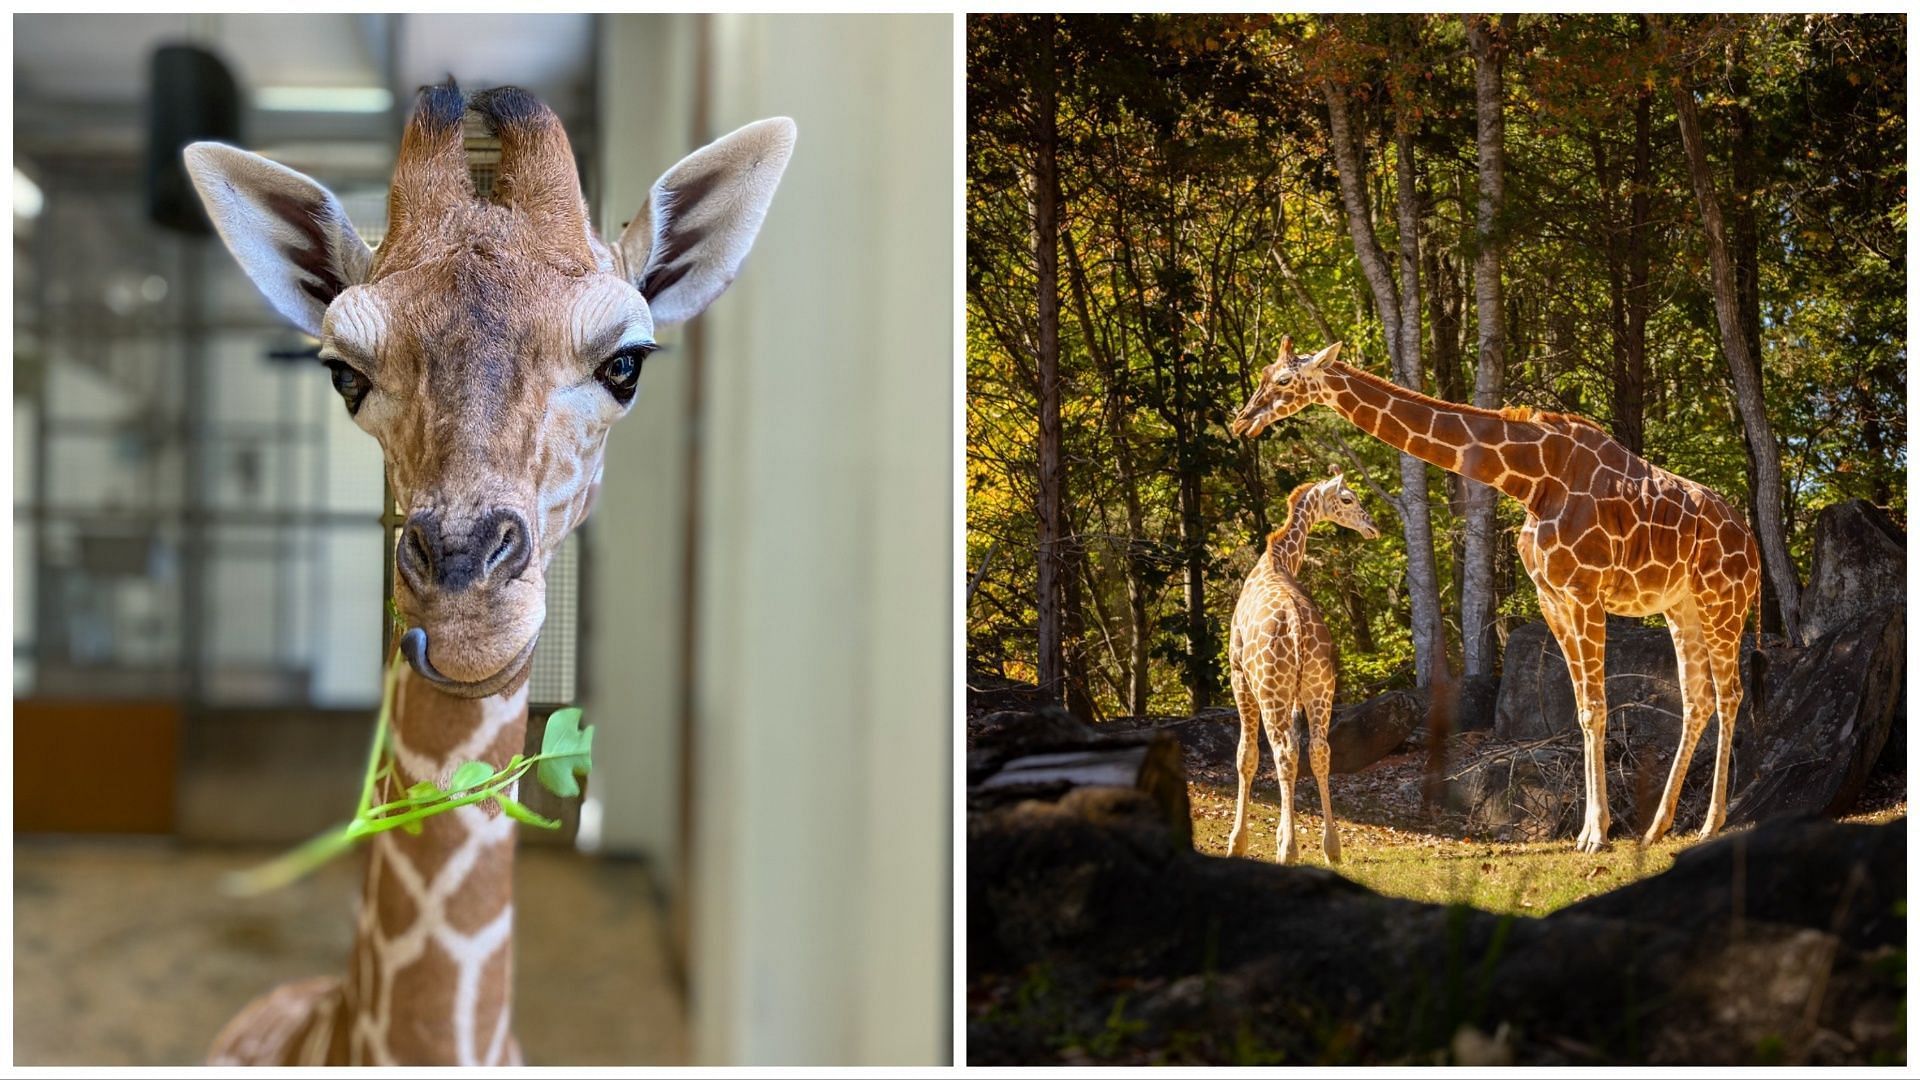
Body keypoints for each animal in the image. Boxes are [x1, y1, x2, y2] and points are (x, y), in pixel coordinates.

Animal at [1228, 470, 1382, 857]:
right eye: (1348, 499)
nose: (1372, 527)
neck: (1277, 560)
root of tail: (1297, 627)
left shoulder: (1238, 675)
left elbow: (1246, 755)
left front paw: (1237, 842)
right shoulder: (1298, 695)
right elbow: (1303, 751)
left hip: (1271, 691)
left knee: (1283, 753)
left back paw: (1288, 849)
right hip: (1320, 687)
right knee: (1319, 750)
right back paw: (1331, 847)